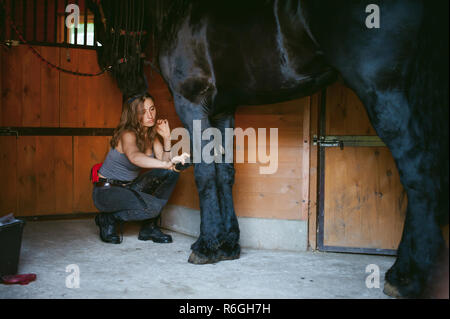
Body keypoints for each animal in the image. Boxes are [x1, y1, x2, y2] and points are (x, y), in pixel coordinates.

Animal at [88, 0, 446, 300]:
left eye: (102, 11)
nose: (120, 74)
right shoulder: (222, 110)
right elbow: (224, 173)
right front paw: (228, 244)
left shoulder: (191, 103)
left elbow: (205, 174)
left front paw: (207, 246)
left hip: (383, 90)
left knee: (418, 173)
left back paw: (405, 276)